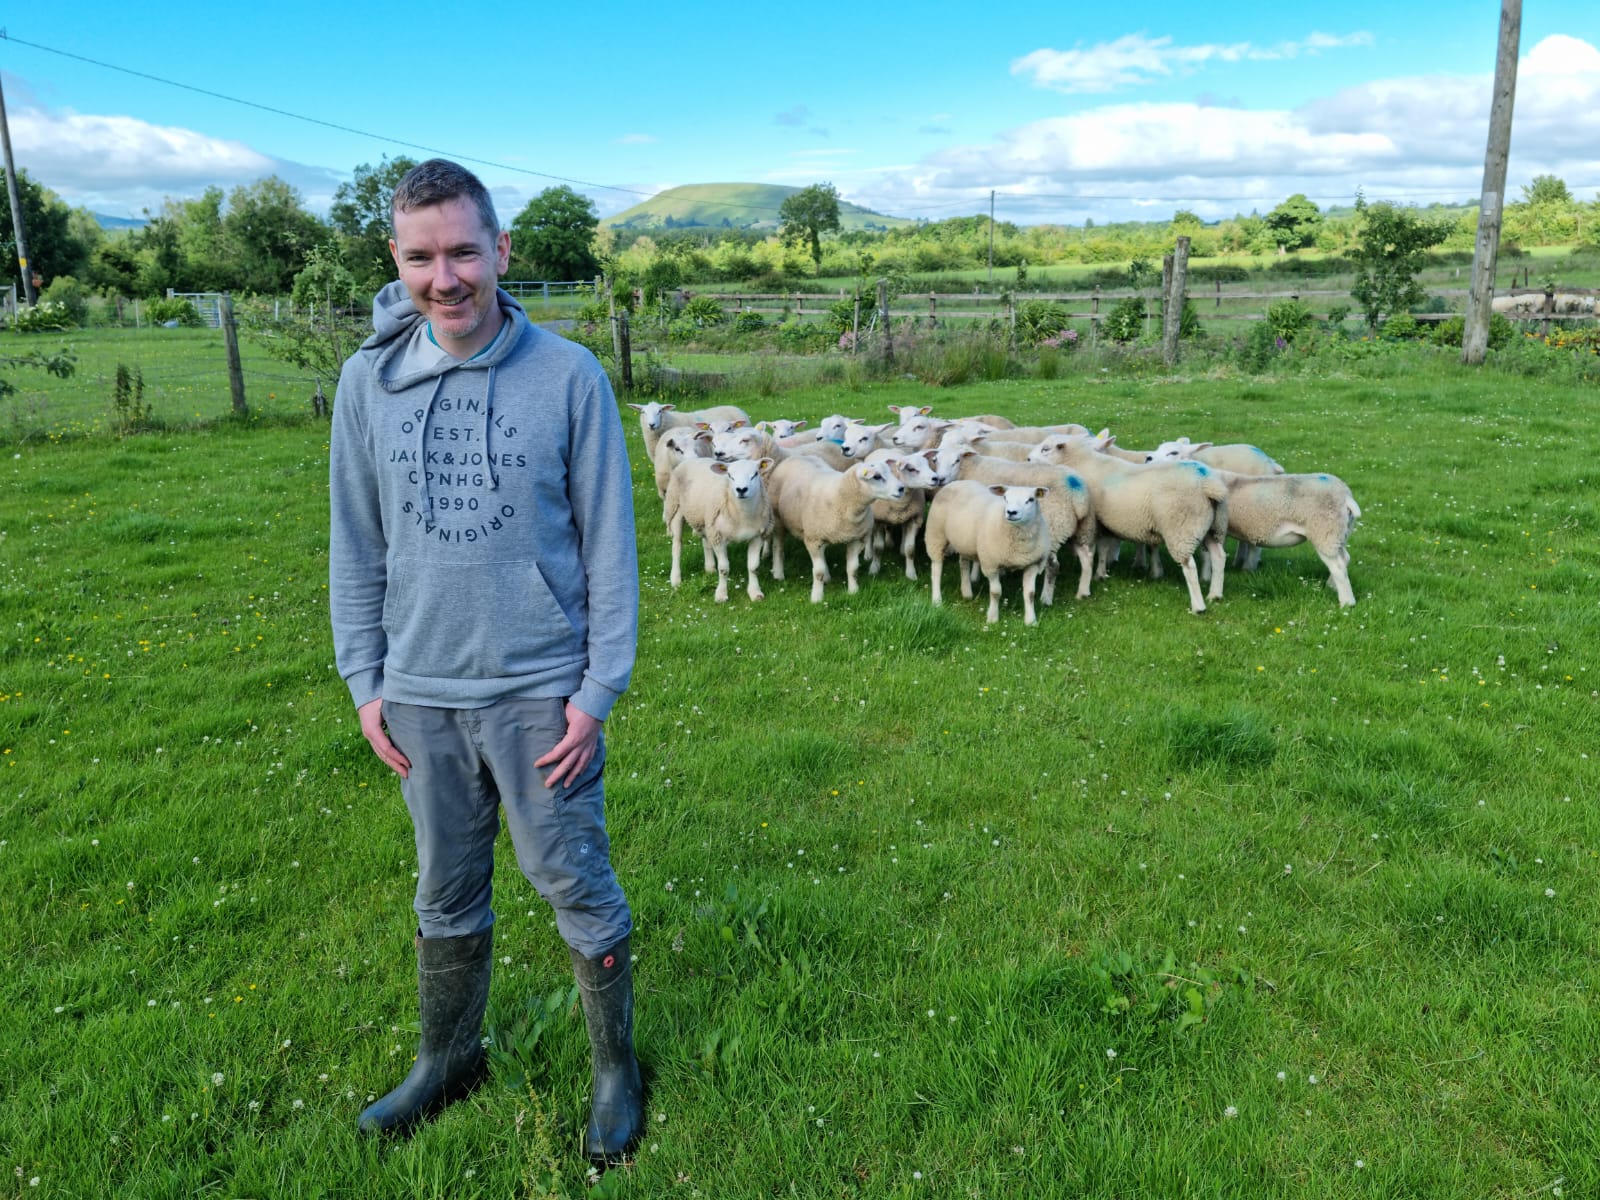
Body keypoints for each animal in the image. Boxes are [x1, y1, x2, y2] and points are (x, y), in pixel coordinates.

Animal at [662, 457, 774, 604]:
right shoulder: (718, 537)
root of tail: (694, 459)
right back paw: (675, 579)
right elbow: (724, 569)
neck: (743, 516)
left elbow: (753, 567)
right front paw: (721, 595)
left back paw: (709, 568)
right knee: (676, 546)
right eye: (730, 476)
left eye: (755, 474)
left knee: (705, 542)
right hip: (675, 508)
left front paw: (755, 593)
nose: (741, 489)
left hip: (705, 519)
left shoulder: (757, 536)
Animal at [768, 457, 908, 604]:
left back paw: (827, 577)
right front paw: (816, 597)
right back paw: (778, 574)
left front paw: (853, 591)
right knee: (778, 547)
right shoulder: (813, 539)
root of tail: (795, 457)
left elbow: (853, 568)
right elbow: (818, 572)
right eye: (876, 476)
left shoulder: (856, 539)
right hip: (778, 520)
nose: (902, 488)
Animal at [921, 483, 1056, 630]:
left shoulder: (1033, 564)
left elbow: (1030, 593)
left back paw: (966, 593)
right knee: (936, 569)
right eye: (1005, 498)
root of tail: (957, 482)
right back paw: (937, 600)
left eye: (1030, 499)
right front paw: (992, 618)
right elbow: (996, 592)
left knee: (963, 563)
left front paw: (1031, 621)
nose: (1011, 512)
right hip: (935, 534)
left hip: (964, 542)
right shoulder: (990, 564)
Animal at [1017, 435, 1228, 620]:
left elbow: (1095, 549)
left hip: (1181, 528)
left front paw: (1096, 574)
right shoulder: (1104, 523)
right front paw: (1101, 573)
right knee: (1219, 556)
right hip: (1214, 528)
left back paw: (1198, 606)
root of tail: (1209, 485)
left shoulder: (1094, 522)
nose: (1027, 459)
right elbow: (1103, 548)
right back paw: (1215, 594)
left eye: (1046, 449)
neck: (1082, 463)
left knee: (1189, 566)